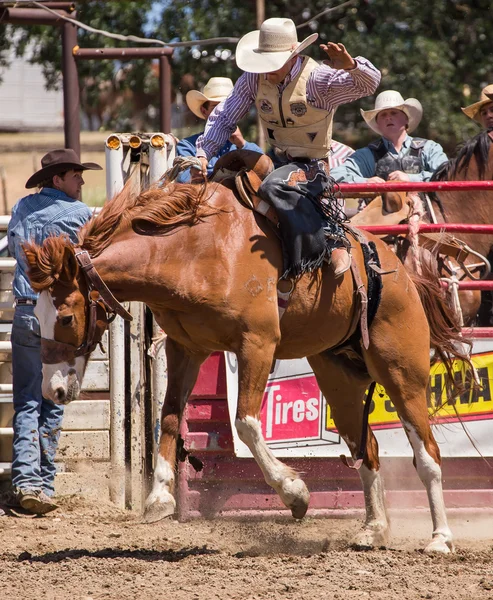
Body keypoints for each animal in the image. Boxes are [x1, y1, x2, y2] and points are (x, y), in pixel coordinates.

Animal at [24, 178, 468, 552]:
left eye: (66, 318)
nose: (52, 389)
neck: (195, 253)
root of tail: (399, 271)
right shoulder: (186, 348)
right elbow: (170, 417)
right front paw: (160, 497)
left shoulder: (257, 344)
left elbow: (246, 423)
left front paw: (295, 493)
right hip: (337, 376)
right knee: (368, 449)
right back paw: (373, 530)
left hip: (401, 371)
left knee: (427, 454)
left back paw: (441, 538)